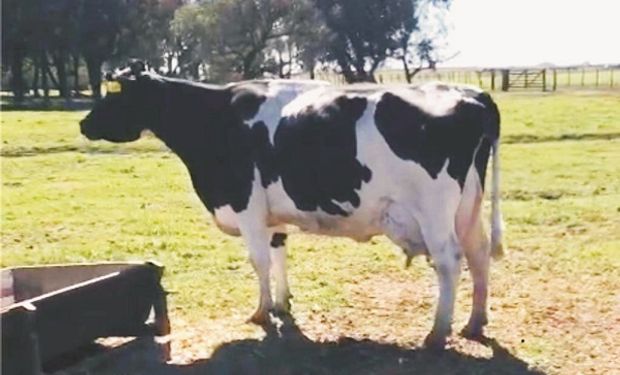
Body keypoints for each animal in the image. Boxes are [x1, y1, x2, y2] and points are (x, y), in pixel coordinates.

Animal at [80, 61, 504, 350]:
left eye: (115, 93)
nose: (83, 124)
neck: (214, 119)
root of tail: (472, 94)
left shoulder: (247, 205)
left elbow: (259, 261)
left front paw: (261, 311)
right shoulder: (272, 214)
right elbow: (279, 252)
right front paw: (282, 305)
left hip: (434, 210)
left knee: (450, 261)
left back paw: (438, 332)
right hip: (468, 205)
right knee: (479, 253)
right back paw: (475, 322)